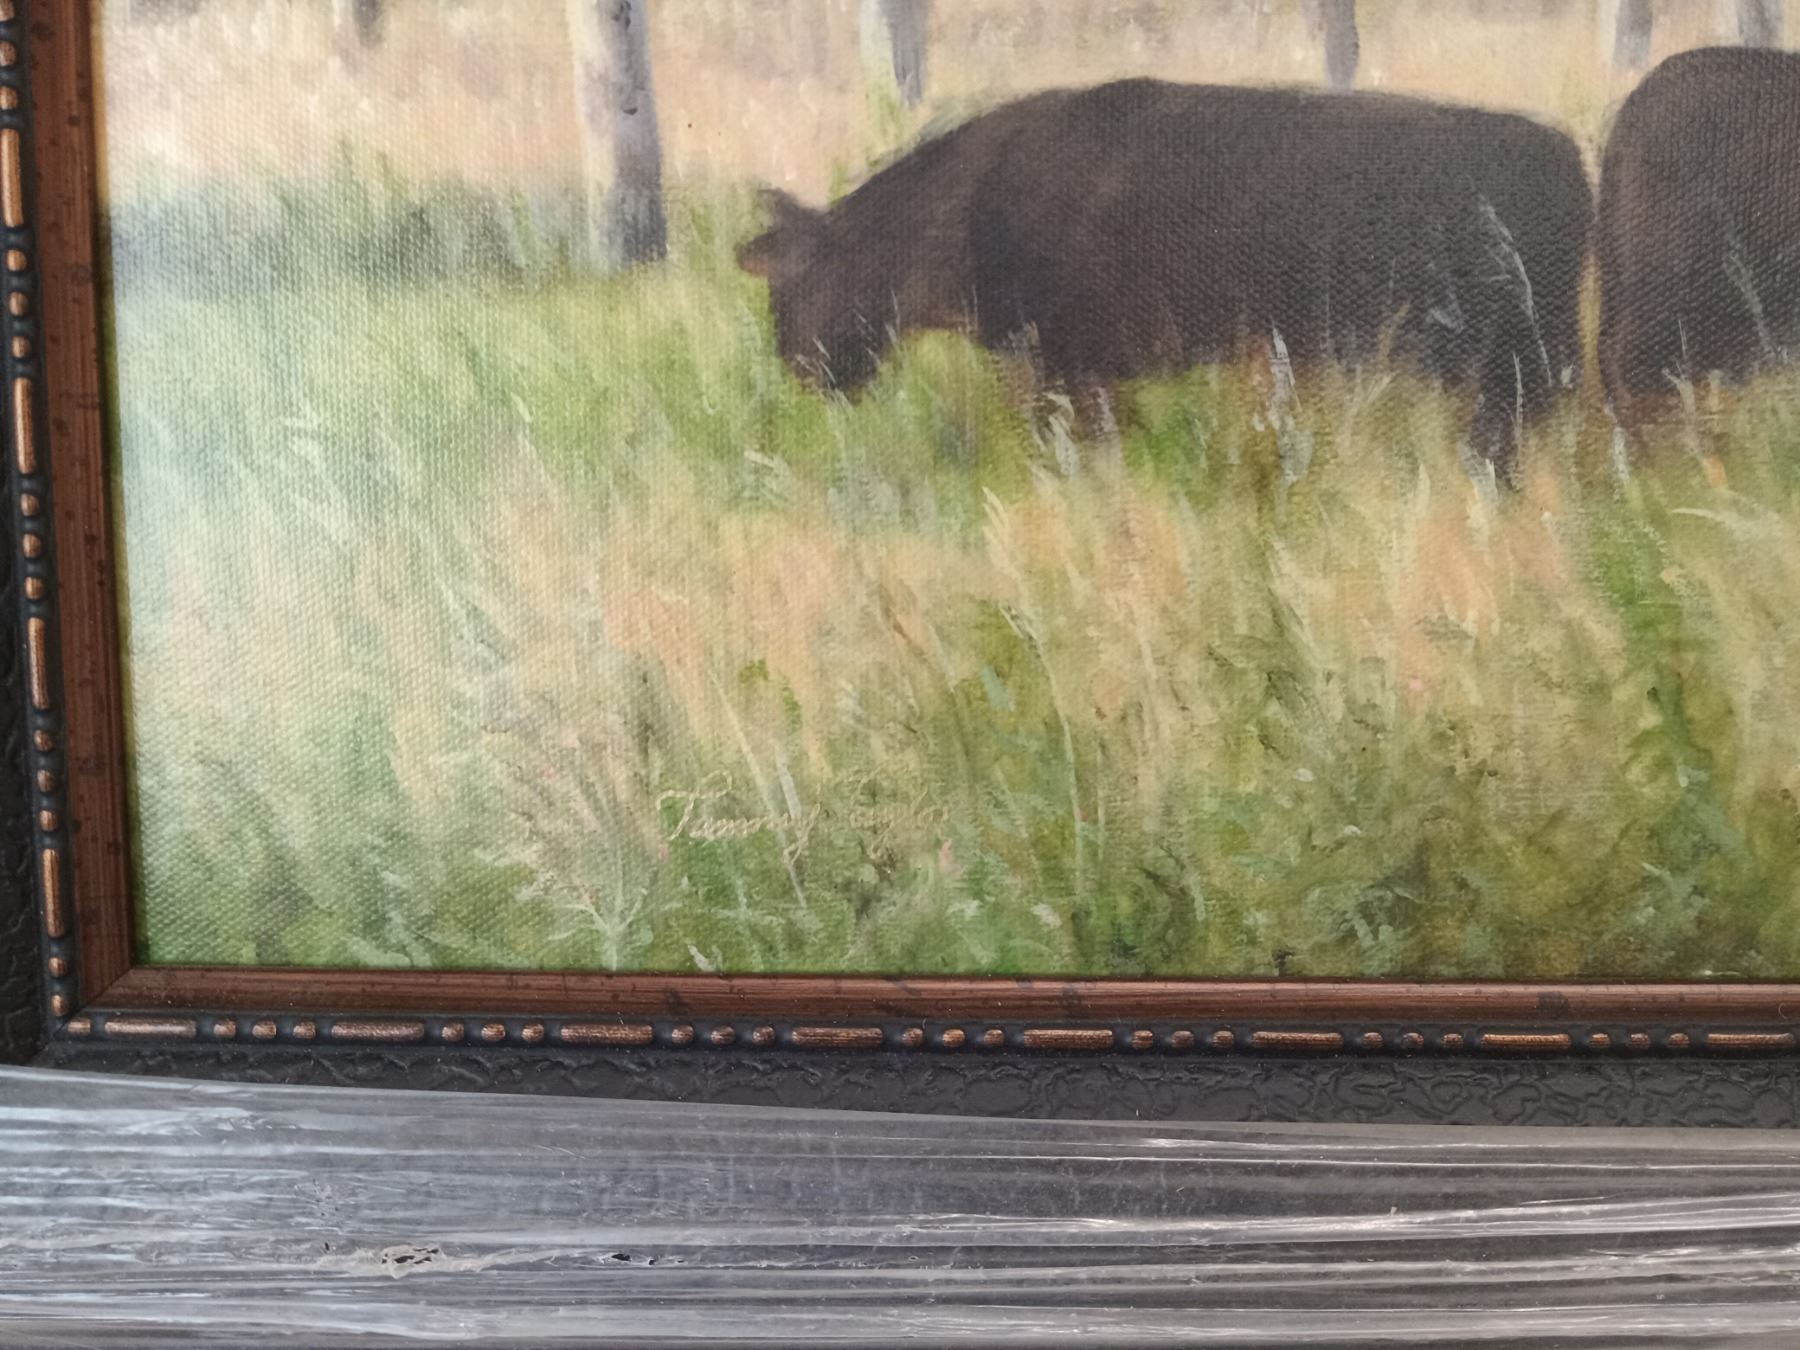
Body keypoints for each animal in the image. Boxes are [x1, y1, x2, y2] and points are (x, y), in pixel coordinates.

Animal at [738, 78, 1592, 482]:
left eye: (794, 283)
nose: (798, 366)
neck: (969, 201)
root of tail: (1568, 155)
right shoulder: (1092, 375)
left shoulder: (1061, 369)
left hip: (1502, 369)